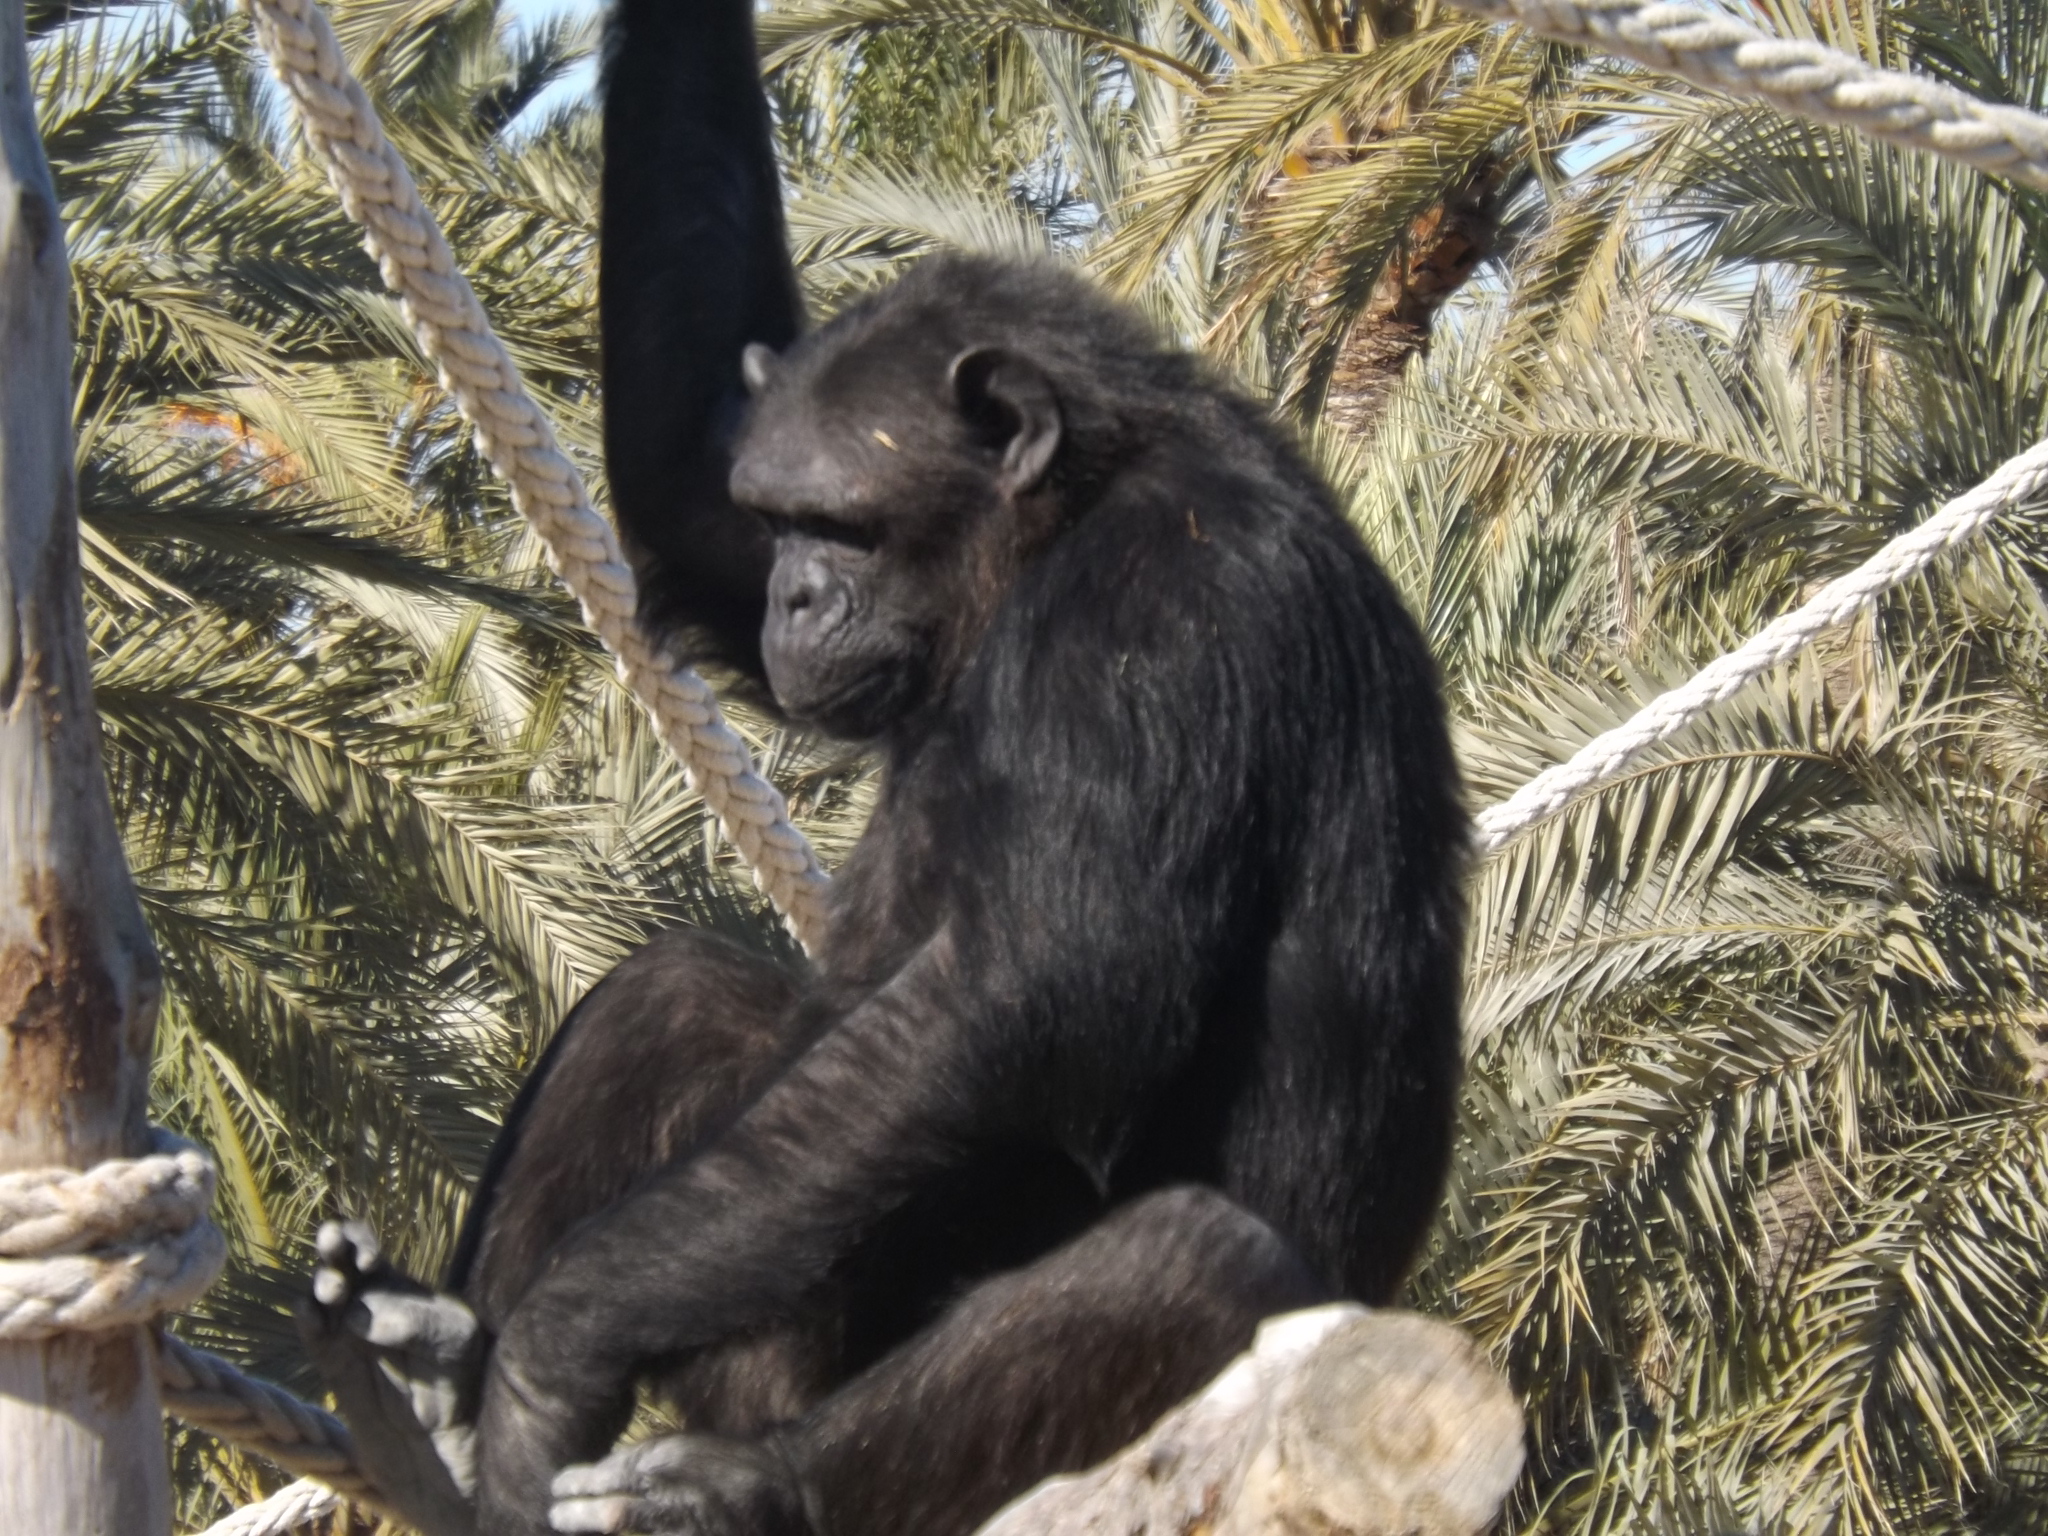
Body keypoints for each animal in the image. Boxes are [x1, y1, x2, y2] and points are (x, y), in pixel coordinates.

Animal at [296, 3, 1466, 1536]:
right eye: (780, 519)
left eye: (844, 528)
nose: (794, 594)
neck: (1048, 534)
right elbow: (685, 481)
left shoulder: (1167, 610)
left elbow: (1030, 992)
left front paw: (558, 1348)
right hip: (756, 1336)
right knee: (683, 998)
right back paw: (441, 1360)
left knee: (1198, 1259)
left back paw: (731, 1491)